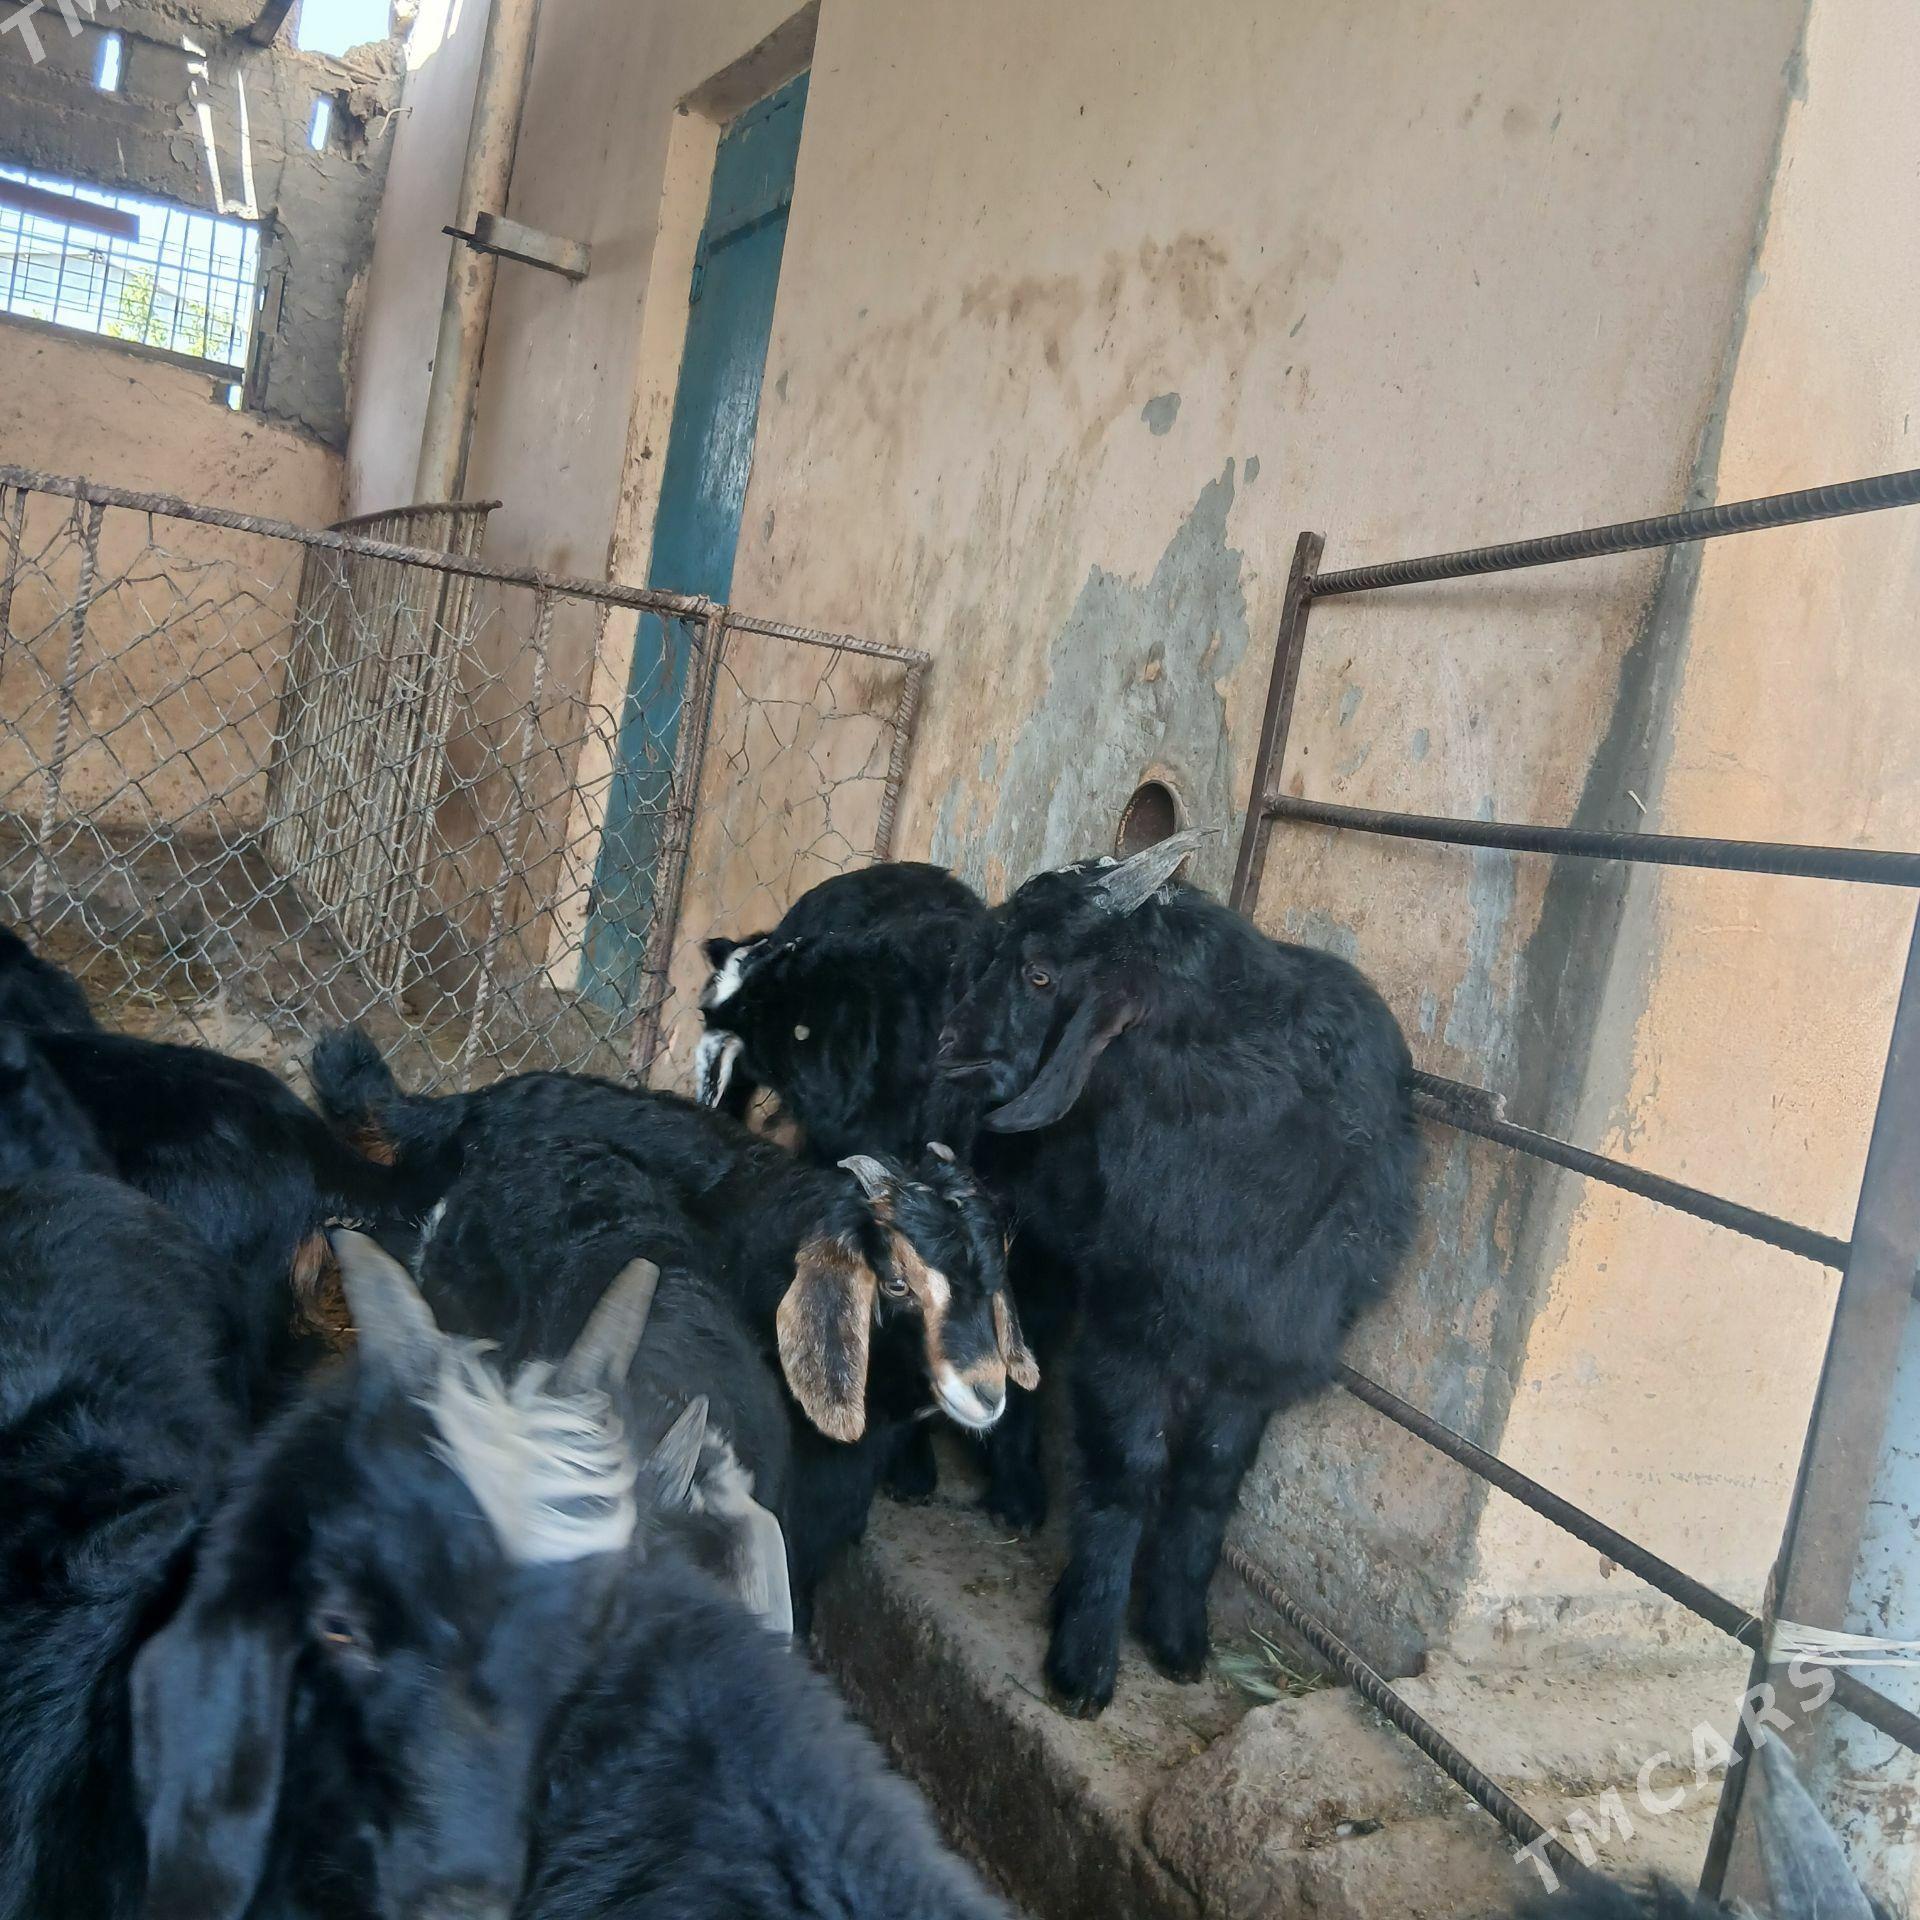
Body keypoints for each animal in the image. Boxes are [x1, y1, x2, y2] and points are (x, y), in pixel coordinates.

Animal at [936, 828, 1420, 1715]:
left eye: (1040, 972)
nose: (950, 1044)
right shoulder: (1132, 1332)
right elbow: (1128, 1476)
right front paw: (1085, 1655)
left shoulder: (1268, 1351)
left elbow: (1207, 1482)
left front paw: (1177, 1635)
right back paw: (1016, 1497)